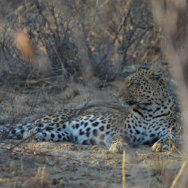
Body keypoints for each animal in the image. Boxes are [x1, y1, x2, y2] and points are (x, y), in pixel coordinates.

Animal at [1, 67, 181, 153]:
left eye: (133, 83)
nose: (118, 95)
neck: (150, 109)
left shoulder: (171, 132)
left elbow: (169, 138)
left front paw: (160, 146)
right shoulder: (120, 131)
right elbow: (117, 138)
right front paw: (119, 146)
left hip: (60, 133)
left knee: (29, 132)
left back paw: (34, 136)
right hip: (50, 122)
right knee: (15, 128)